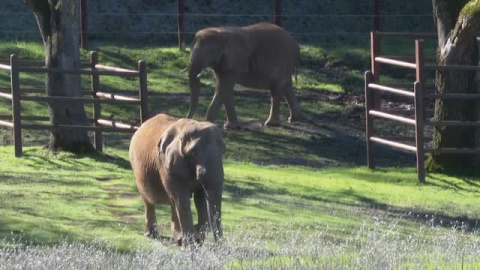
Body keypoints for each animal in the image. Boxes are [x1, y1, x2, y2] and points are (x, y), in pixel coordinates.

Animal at [128, 113, 224, 246]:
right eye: (193, 152)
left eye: (223, 152)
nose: (219, 247)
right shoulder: (167, 164)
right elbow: (182, 198)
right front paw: (190, 246)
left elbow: (200, 199)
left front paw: (196, 239)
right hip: (136, 167)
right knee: (149, 200)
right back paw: (152, 235)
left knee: (173, 202)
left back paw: (178, 239)